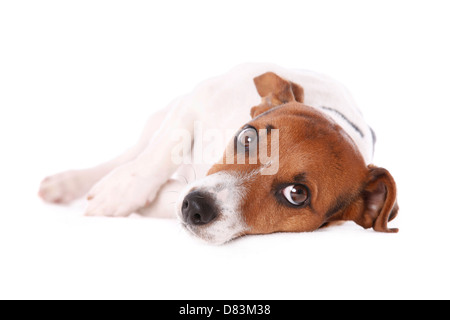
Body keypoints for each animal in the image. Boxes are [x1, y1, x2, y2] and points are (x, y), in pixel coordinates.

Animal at [37, 62, 398, 244]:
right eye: (247, 137)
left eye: (297, 194)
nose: (195, 205)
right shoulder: (197, 101)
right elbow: (164, 149)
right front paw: (121, 192)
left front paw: (155, 200)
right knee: (131, 155)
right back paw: (72, 183)